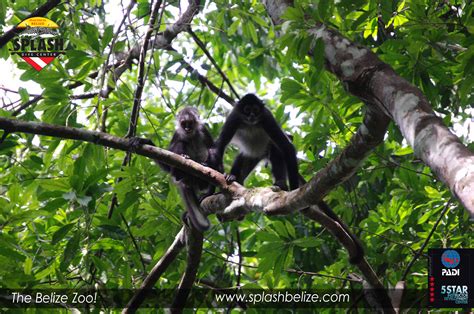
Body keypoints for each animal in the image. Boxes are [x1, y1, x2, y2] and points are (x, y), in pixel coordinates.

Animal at [214, 94, 362, 264]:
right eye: (247, 110)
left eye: (255, 110)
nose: (251, 116)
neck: (251, 124)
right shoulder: (235, 118)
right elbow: (220, 144)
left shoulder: (266, 118)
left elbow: (287, 147)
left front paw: (294, 189)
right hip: (252, 155)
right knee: (243, 157)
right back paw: (233, 177)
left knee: (276, 150)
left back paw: (280, 183)